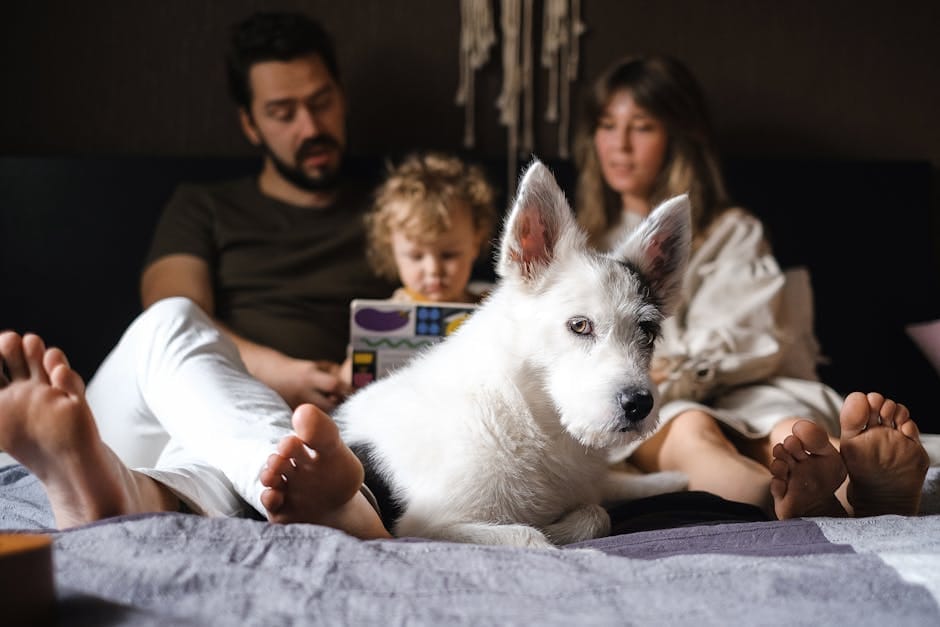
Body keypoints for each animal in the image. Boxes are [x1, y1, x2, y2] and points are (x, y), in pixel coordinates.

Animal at [336, 159, 692, 548]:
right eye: (580, 325)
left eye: (648, 332)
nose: (639, 404)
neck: (529, 412)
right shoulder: (425, 525)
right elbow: (531, 534)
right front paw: (551, 529)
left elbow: (597, 511)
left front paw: (660, 482)